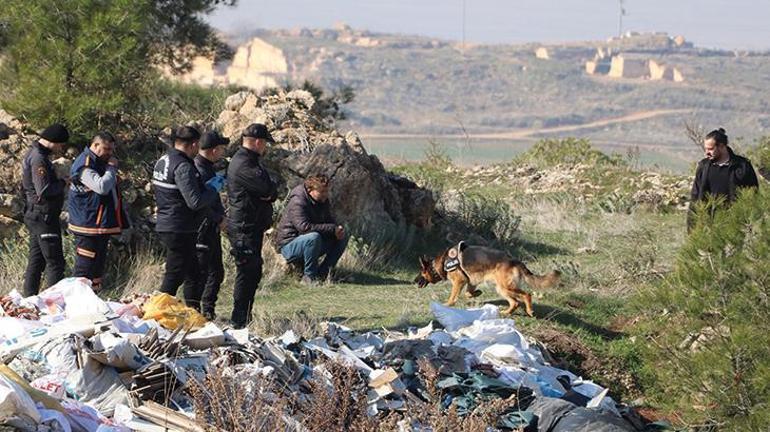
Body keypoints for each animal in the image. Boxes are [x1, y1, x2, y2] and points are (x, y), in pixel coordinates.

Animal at [414, 243, 560, 318]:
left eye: (420, 272)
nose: (414, 281)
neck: (442, 263)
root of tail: (515, 261)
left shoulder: (459, 281)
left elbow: (453, 297)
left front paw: (447, 305)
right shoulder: (471, 282)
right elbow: (468, 293)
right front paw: (477, 293)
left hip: (505, 287)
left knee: (526, 295)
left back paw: (529, 310)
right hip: (501, 289)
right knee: (515, 302)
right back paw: (506, 312)